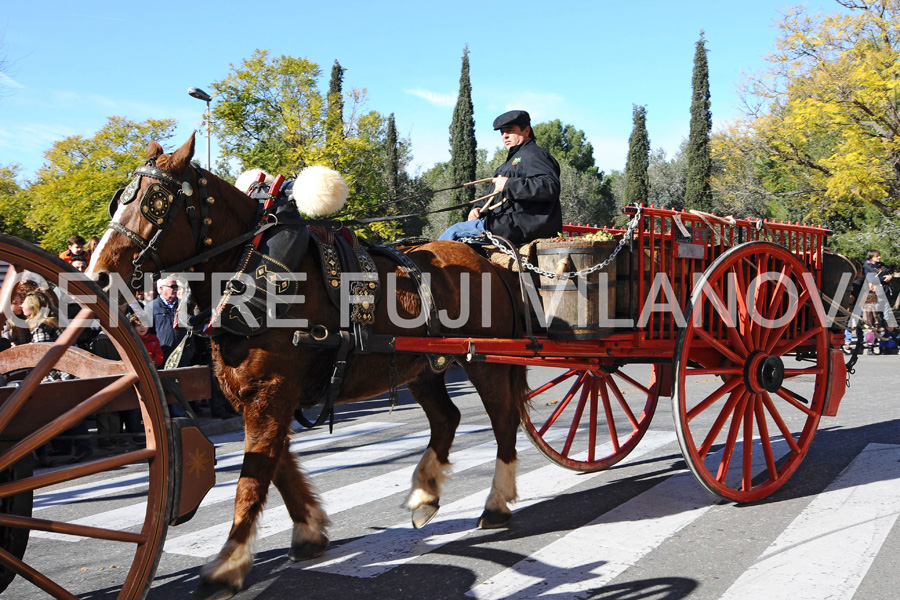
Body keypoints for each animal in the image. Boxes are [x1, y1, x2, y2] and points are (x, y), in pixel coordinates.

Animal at [88, 134, 532, 596]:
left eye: (155, 201)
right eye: (120, 199)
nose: (97, 274)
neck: (250, 266)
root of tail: (487, 260)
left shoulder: (270, 391)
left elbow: (253, 475)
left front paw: (229, 562)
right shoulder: (257, 395)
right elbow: (276, 465)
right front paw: (308, 530)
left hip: (485, 361)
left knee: (503, 421)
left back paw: (496, 503)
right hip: (423, 367)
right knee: (447, 418)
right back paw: (425, 494)